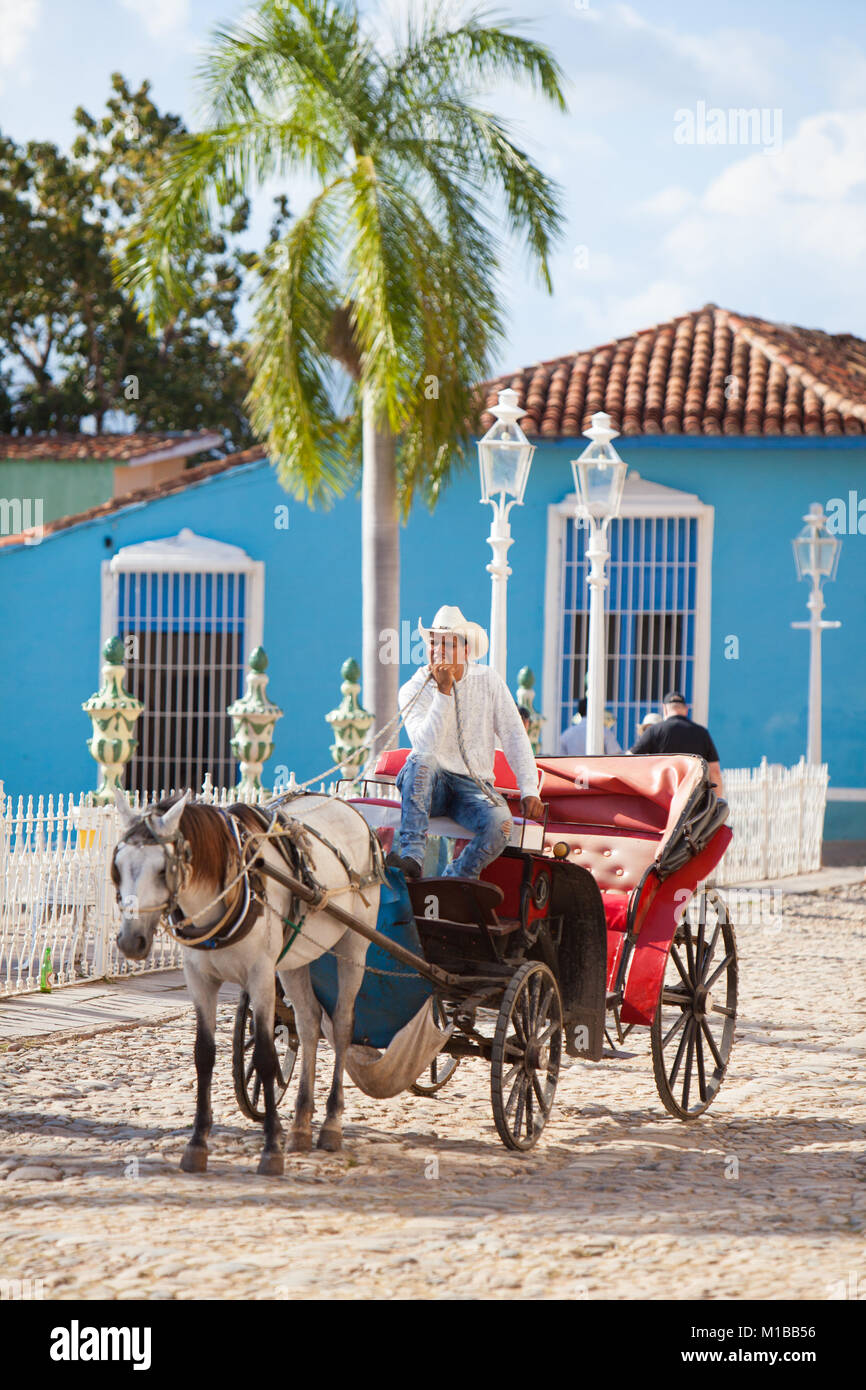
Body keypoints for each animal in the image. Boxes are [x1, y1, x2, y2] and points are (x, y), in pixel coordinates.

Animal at [109, 795, 380, 1173]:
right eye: (118, 868)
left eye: (163, 870)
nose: (130, 942)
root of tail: (349, 807)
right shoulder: (199, 979)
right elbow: (204, 1054)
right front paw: (197, 1143)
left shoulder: (261, 975)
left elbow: (266, 1057)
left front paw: (271, 1148)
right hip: (295, 959)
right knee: (309, 1024)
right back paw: (300, 1125)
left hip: (353, 945)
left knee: (340, 1026)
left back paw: (330, 1124)